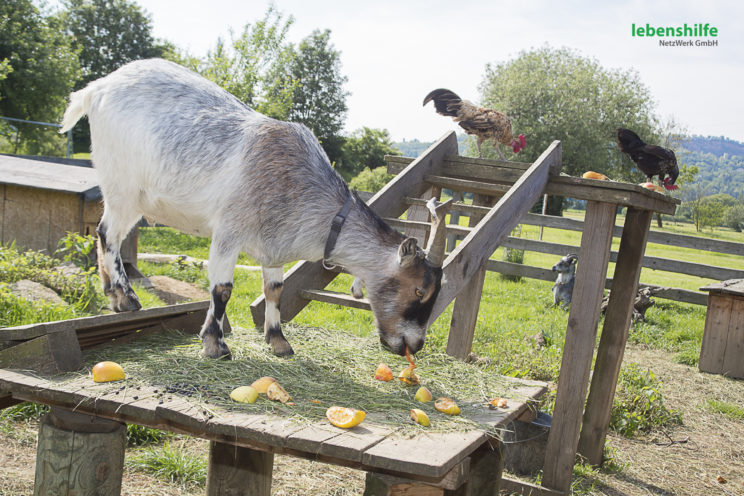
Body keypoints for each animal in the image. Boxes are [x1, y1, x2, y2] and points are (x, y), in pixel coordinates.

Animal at [59, 58, 448, 360]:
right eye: (419, 290)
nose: (414, 345)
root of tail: (97, 88)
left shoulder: (273, 247)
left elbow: (274, 290)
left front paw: (278, 342)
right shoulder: (228, 233)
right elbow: (222, 289)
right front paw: (215, 344)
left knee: (105, 232)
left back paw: (112, 296)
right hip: (121, 185)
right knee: (108, 233)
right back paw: (127, 298)